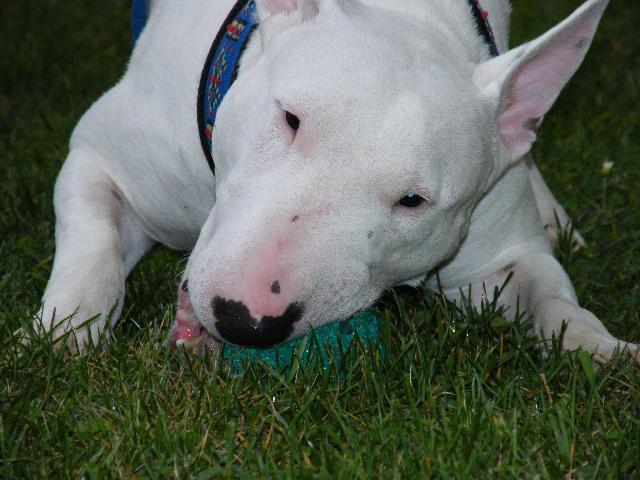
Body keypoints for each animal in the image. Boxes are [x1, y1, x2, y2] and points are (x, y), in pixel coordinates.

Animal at [33, 0, 636, 360]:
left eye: (413, 201)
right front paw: (57, 337)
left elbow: (551, 297)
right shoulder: (97, 155)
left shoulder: (500, 255)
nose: (245, 320)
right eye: (290, 119)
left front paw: (602, 350)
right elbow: (94, 250)